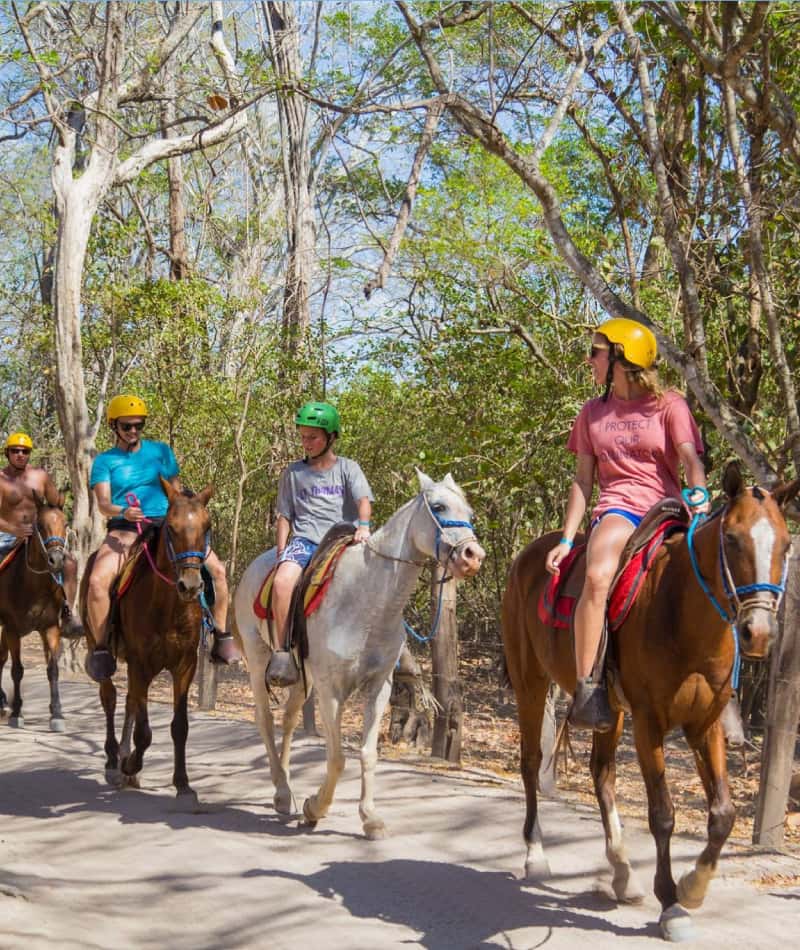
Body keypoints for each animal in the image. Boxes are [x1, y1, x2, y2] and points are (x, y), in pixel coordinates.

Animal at [0, 491, 71, 731]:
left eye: (65, 524)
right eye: (39, 525)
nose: (56, 560)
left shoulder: (50, 628)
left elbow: (53, 670)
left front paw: (57, 714)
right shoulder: (12, 629)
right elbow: (17, 670)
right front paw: (17, 713)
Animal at [80, 478, 213, 807]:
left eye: (206, 526)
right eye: (172, 528)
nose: (191, 586)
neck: (167, 605)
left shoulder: (185, 665)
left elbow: (180, 726)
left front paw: (183, 785)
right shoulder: (140, 664)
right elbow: (145, 731)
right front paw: (129, 764)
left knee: (129, 701)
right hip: (100, 648)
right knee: (110, 697)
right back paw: (114, 761)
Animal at [233, 469, 485, 838]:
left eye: (470, 513)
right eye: (438, 506)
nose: (473, 555)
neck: (368, 600)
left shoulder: (378, 687)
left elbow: (367, 753)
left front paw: (370, 817)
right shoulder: (331, 690)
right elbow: (337, 757)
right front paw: (314, 808)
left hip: (303, 678)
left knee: (289, 719)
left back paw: (286, 787)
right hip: (257, 660)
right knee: (265, 720)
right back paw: (281, 790)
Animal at [501, 460, 800, 941]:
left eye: (787, 543)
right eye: (732, 539)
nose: (758, 632)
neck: (682, 614)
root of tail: (532, 554)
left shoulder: (705, 724)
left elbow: (723, 813)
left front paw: (693, 887)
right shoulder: (649, 723)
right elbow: (662, 814)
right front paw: (672, 904)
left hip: (610, 712)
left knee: (601, 774)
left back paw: (623, 875)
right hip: (531, 682)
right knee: (531, 763)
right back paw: (536, 855)